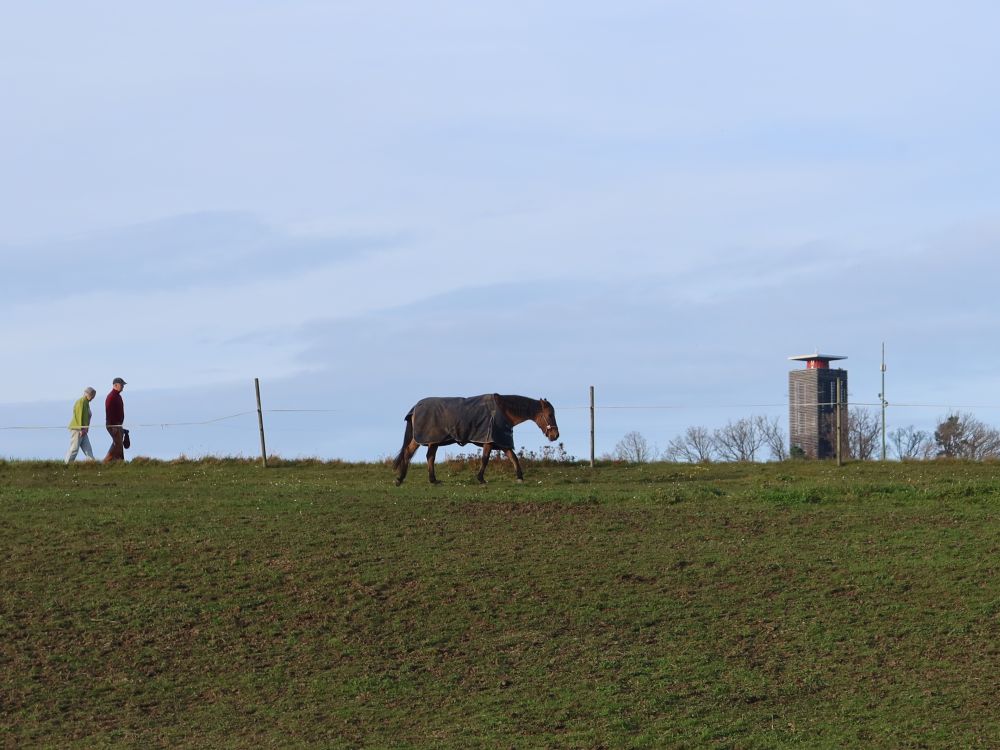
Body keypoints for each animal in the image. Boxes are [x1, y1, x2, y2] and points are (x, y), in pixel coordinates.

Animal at [392, 394, 559, 485]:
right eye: (550, 414)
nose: (555, 435)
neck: (503, 411)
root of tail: (415, 407)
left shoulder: (501, 442)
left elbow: (513, 457)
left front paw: (520, 477)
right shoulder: (489, 440)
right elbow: (485, 459)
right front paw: (481, 478)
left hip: (429, 440)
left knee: (413, 454)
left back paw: (404, 479)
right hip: (431, 440)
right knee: (425, 456)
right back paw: (423, 479)